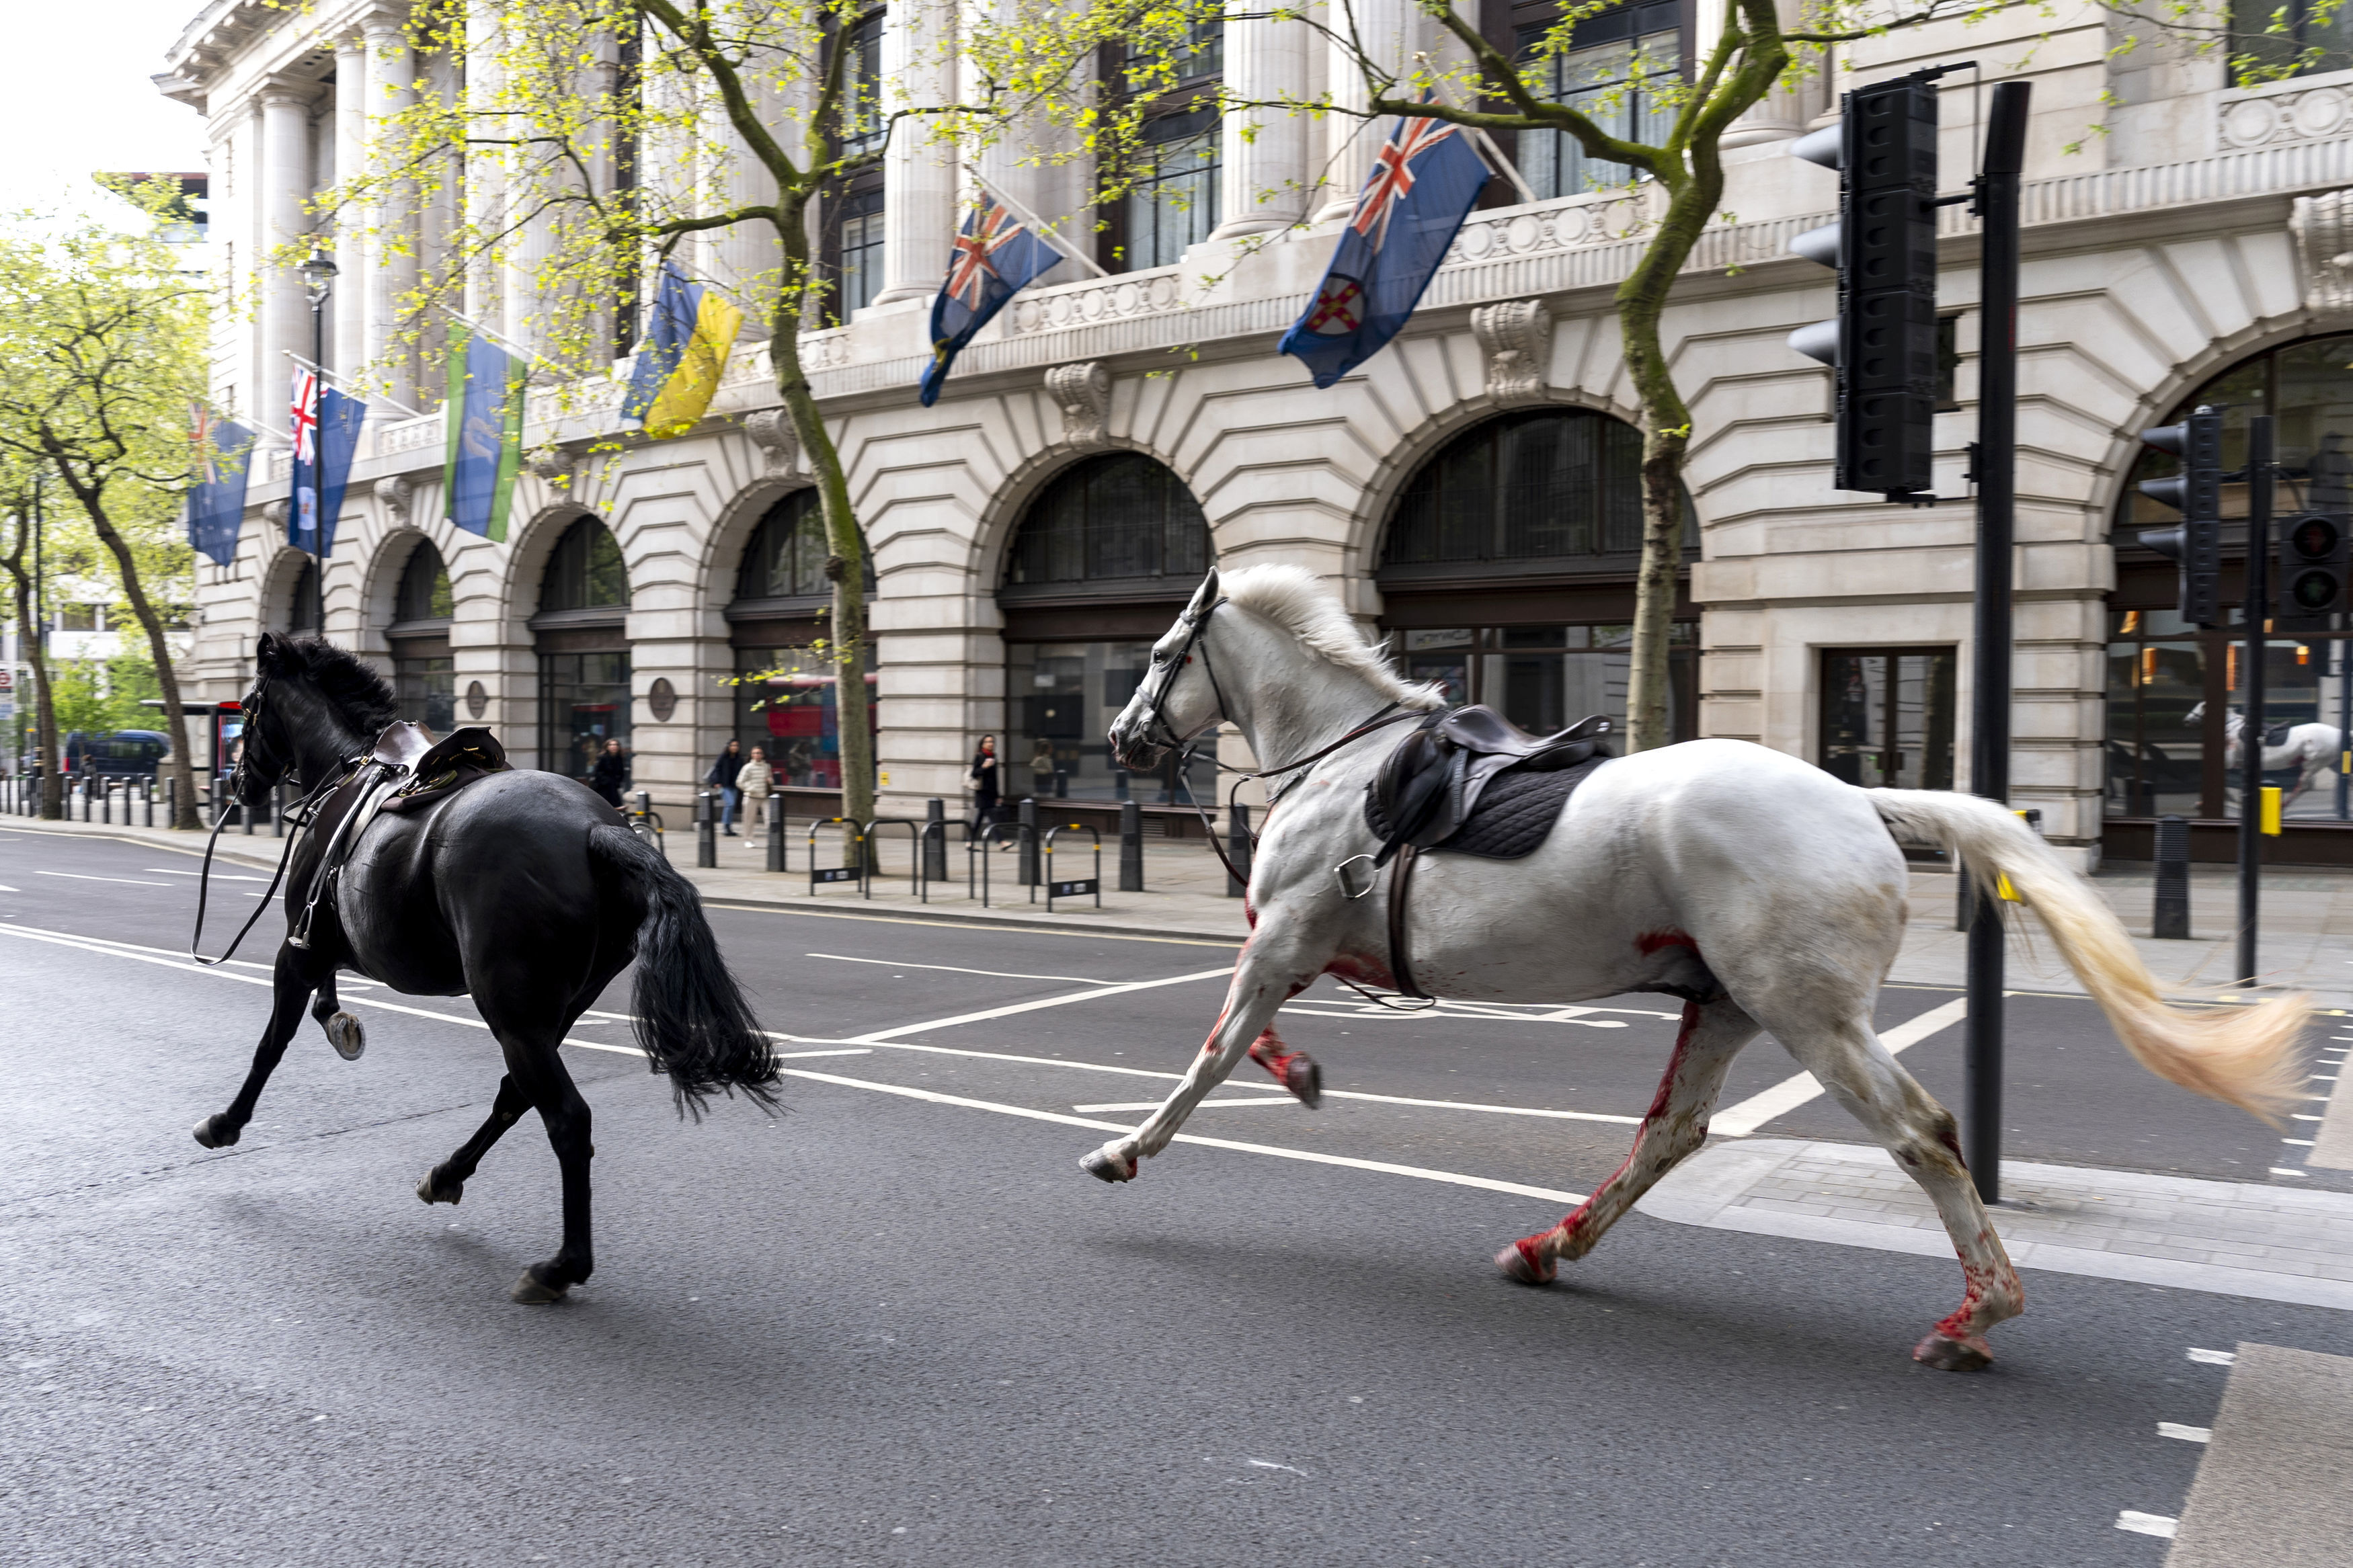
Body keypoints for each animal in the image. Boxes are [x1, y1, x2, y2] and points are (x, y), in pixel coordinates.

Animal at [195, 630, 781, 1307]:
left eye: (247, 708)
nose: (235, 781)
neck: (349, 766)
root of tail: (597, 829)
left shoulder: (300, 947)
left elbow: (271, 1043)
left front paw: (226, 1122)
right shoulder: (324, 942)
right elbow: (321, 1004)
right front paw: (340, 1022)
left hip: (512, 1009)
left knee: (566, 1118)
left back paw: (561, 1265)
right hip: (553, 1010)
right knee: (516, 1096)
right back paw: (448, 1174)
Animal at [1092, 566, 2306, 1372]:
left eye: (1156, 654)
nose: (1121, 738)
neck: (1346, 763)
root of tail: (1864, 802)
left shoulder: (1282, 938)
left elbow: (1212, 1054)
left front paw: (1125, 1149)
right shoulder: (1299, 947)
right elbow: (1251, 1039)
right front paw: (1296, 1075)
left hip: (1808, 1012)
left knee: (1921, 1133)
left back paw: (1977, 1315)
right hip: (1727, 1003)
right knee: (1672, 1133)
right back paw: (1550, 1244)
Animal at [2184, 705, 2334, 818]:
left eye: (2202, 706)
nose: (2187, 720)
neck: (2231, 728)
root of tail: (2337, 733)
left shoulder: (2230, 760)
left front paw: (2201, 803)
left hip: (2314, 763)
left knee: (2301, 787)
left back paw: (2281, 807)